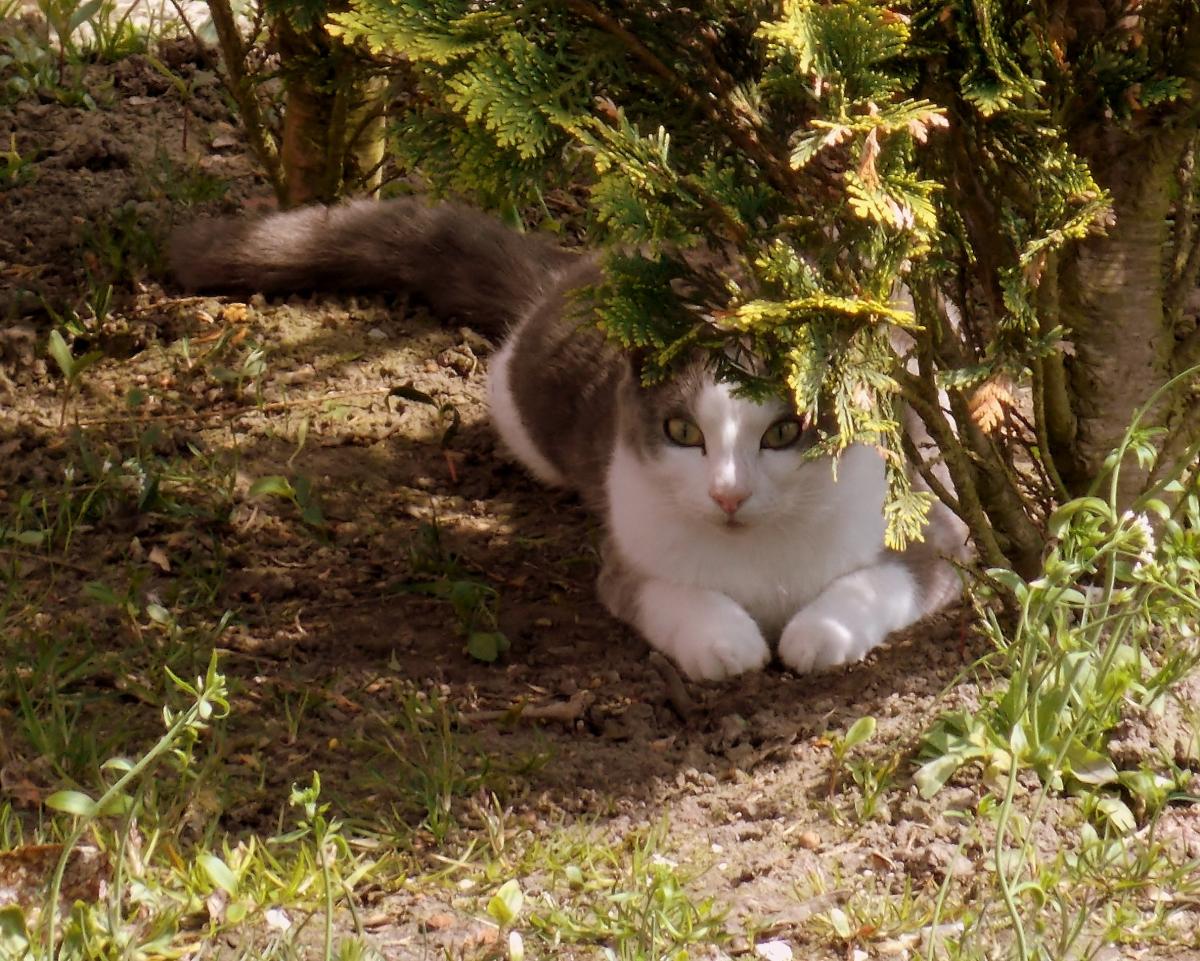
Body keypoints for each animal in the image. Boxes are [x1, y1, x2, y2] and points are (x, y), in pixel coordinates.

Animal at [171, 197, 968, 681]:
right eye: (683, 432)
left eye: (784, 432)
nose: (728, 494)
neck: (761, 561)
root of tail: (585, 262)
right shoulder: (629, 556)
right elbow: (665, 595)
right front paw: (727, 642)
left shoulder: (938, 528)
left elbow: (880, 581)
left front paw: (818, 632)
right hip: (520, 408)